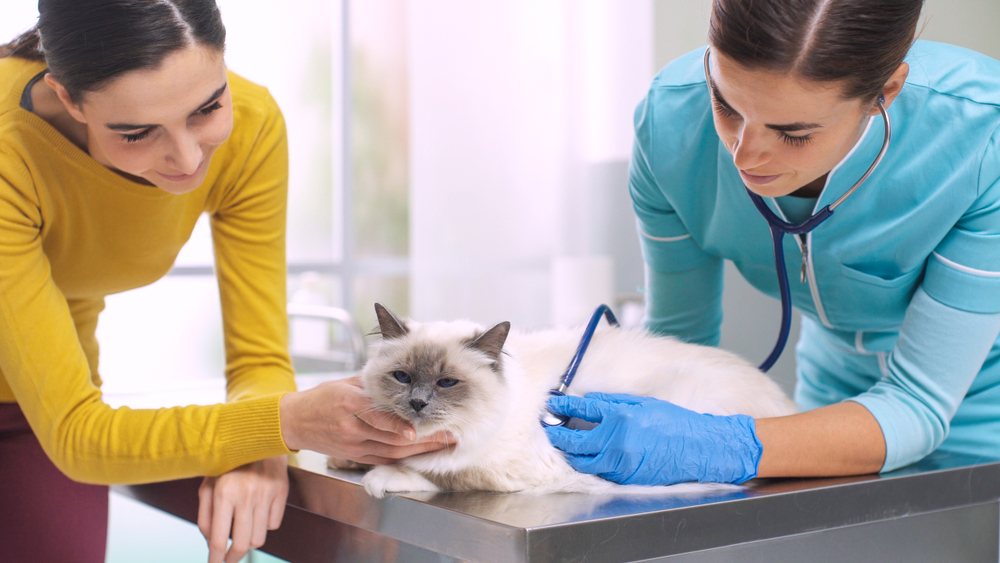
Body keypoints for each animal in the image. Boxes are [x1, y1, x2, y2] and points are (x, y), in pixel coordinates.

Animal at [334, 304, 796, 498]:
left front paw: (382, 477)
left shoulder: (517, 469)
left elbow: (439, 473)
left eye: (448, 382)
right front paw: (347, 460)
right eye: (402, 377)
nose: (417, 403)